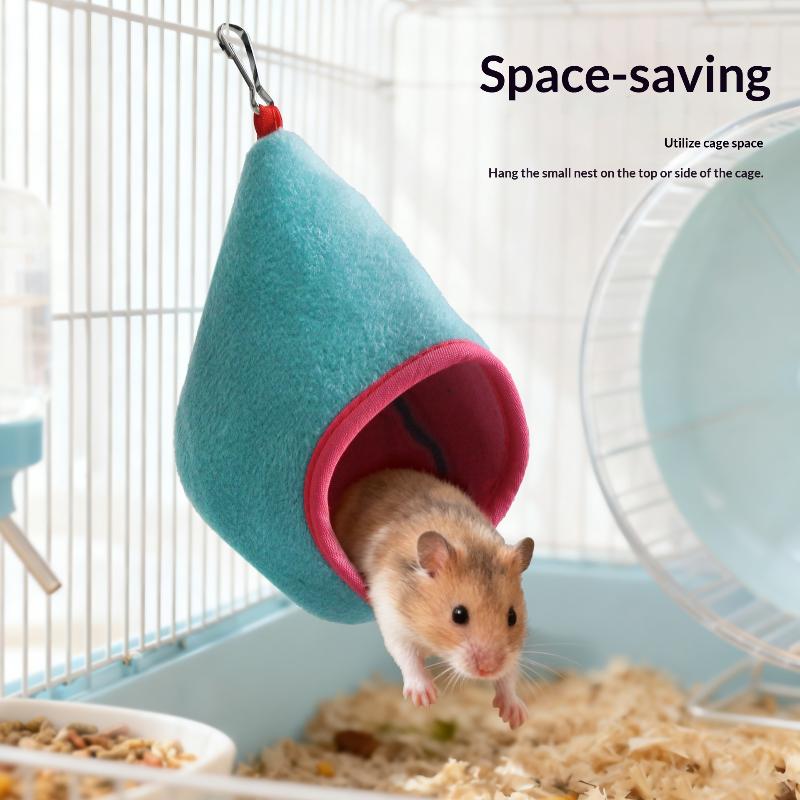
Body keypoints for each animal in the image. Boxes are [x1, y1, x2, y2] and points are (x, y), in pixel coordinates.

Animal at [333, 468, 534, 729]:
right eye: (458, 615)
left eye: (512, 617)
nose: (488, 669)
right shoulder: (392, 618)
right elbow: (406, 655)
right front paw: (425, 698)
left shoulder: (512, 651)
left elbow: (509, 674)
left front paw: (515, 717)